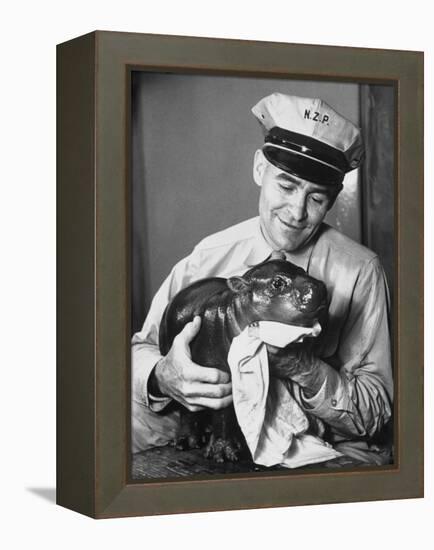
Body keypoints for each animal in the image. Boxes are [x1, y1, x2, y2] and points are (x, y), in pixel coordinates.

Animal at [159, 256, 326, 464]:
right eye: (277, 283)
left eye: (303, 270)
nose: (319, 286)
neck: (234, 309)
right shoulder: (219, 374)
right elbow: (223, 412)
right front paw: (223, 454)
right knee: (187, 408)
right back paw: (187, 442)